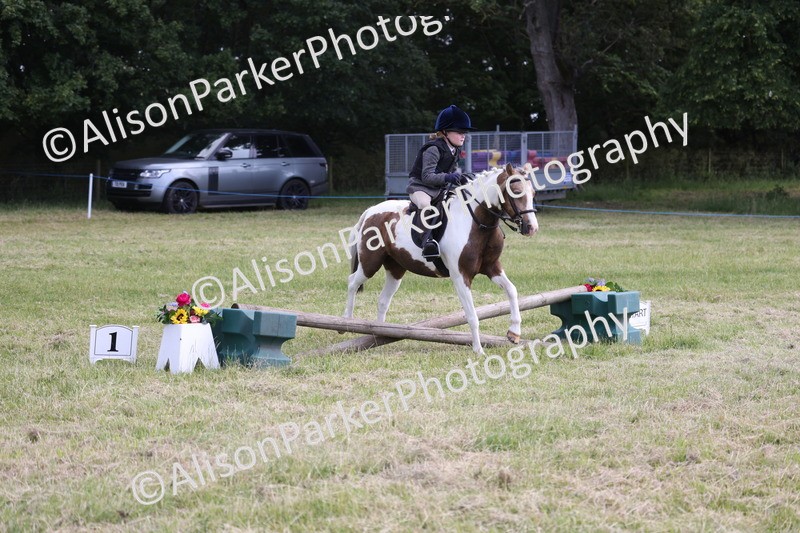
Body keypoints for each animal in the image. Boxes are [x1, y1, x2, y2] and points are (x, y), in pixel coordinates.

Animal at [344, 163, 539, 354]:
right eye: (516, 192)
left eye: (533, 193)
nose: (532, 228)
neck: (477, 223)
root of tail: (370, 211)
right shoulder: (461, 276)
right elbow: (472, 315)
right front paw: (478, 350)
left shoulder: (492, 268)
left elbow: (512, 290)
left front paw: (514, 333)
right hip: (370, 263)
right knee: (353, 281)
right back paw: (347, 321)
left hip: (396, 269)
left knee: (383, 300)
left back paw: (380, 333)